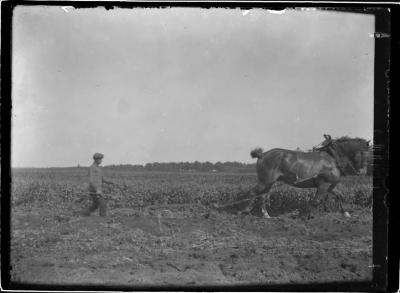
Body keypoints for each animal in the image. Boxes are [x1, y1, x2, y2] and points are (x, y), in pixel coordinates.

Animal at [217, 135, 370, 217]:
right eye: (364, 152)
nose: (363, 171)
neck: (332, 158)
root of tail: (262, 154)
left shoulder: (331, 186)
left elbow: (340, 196)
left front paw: (346, 213)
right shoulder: (323, 185)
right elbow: (316, 201)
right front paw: (308, 216)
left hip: (269, 183)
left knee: (263, 196)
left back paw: (266, 215)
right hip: (265, 181)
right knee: (254, 193)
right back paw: (244, 210)